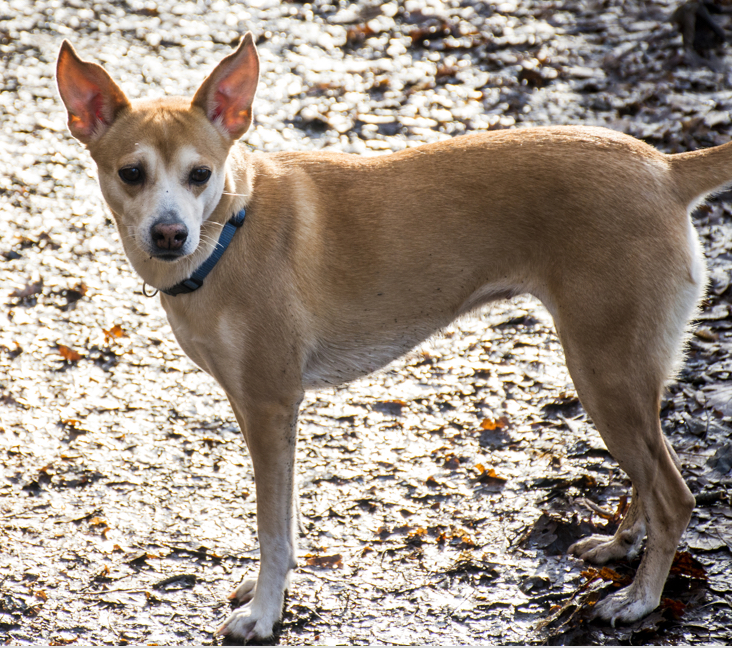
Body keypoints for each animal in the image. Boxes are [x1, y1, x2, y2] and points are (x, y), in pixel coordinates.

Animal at [54, 34, 724, 636]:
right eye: (131, 173)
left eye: (200, 173)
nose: (169, 234)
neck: (230, 226)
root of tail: (665, 169)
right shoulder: (256, 407)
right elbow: (285, 518)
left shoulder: (270, 405)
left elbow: (273, 527)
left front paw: (265, 613)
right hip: (626, 376)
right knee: (648, 478)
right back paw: (621, 546)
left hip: (603, 373)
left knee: (674, 496)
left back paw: (639, 601)